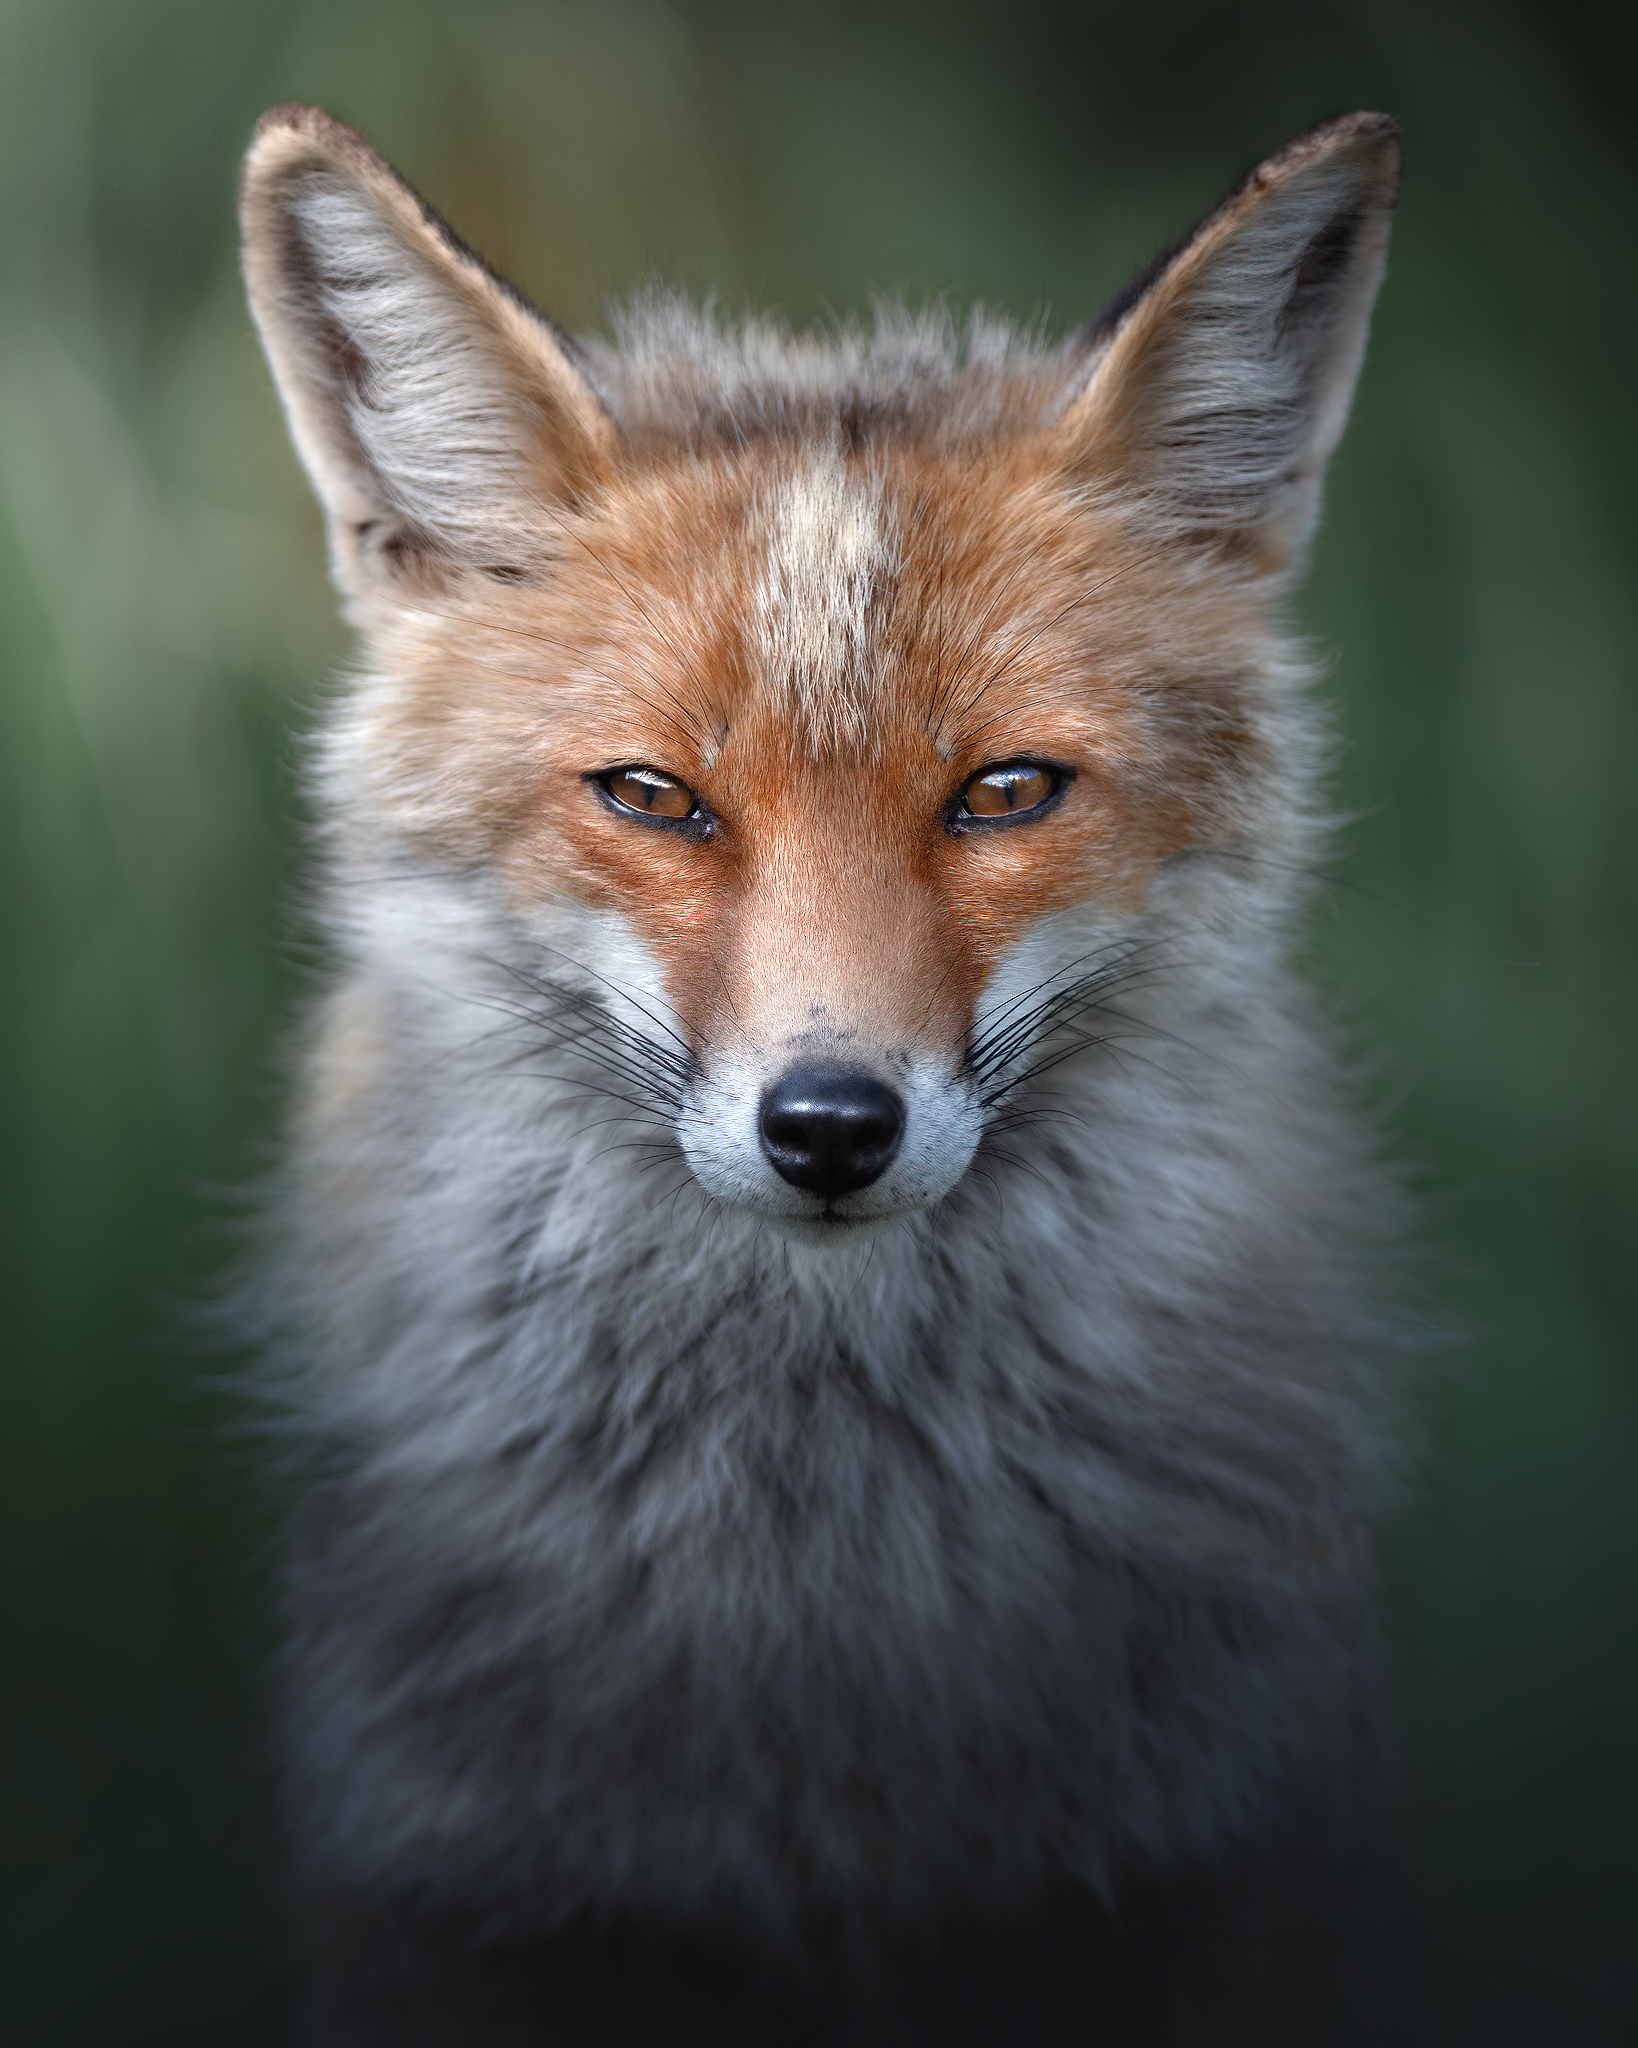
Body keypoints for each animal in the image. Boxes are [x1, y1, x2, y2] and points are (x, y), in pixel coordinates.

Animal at [238, 102, 1414, 2045]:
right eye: (652, 796)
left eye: (1005, 792)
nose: (829, 1127)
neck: (829, 1602)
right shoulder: (457, 1878)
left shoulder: (1208, 1857)